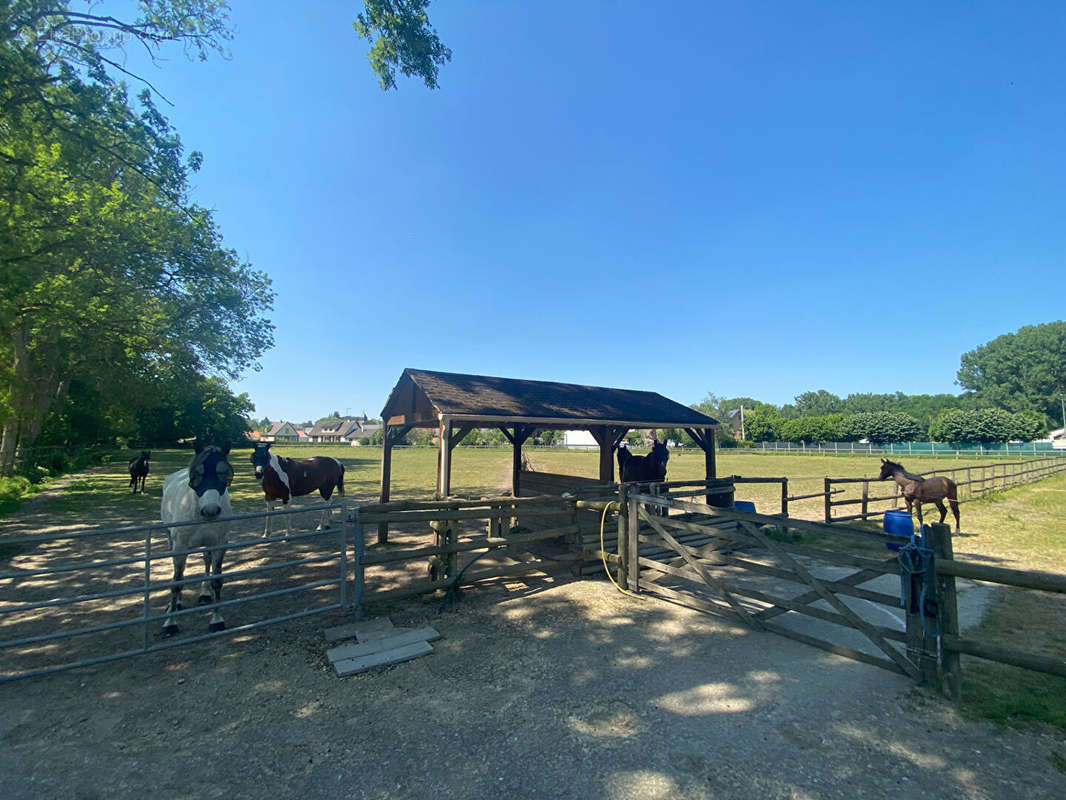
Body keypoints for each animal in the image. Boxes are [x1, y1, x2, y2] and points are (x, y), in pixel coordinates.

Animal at [159, 445, 233, 640]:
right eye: (197, 474)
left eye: (224, 472)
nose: (211, 510)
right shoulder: (180, 547)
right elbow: (176, 582)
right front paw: (170, 624)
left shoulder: (219, 544)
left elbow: (217, 580)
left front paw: (217, 620)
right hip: (171, 540)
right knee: (178, 573)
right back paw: (175, 605)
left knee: (206, 561)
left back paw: (204, 594)